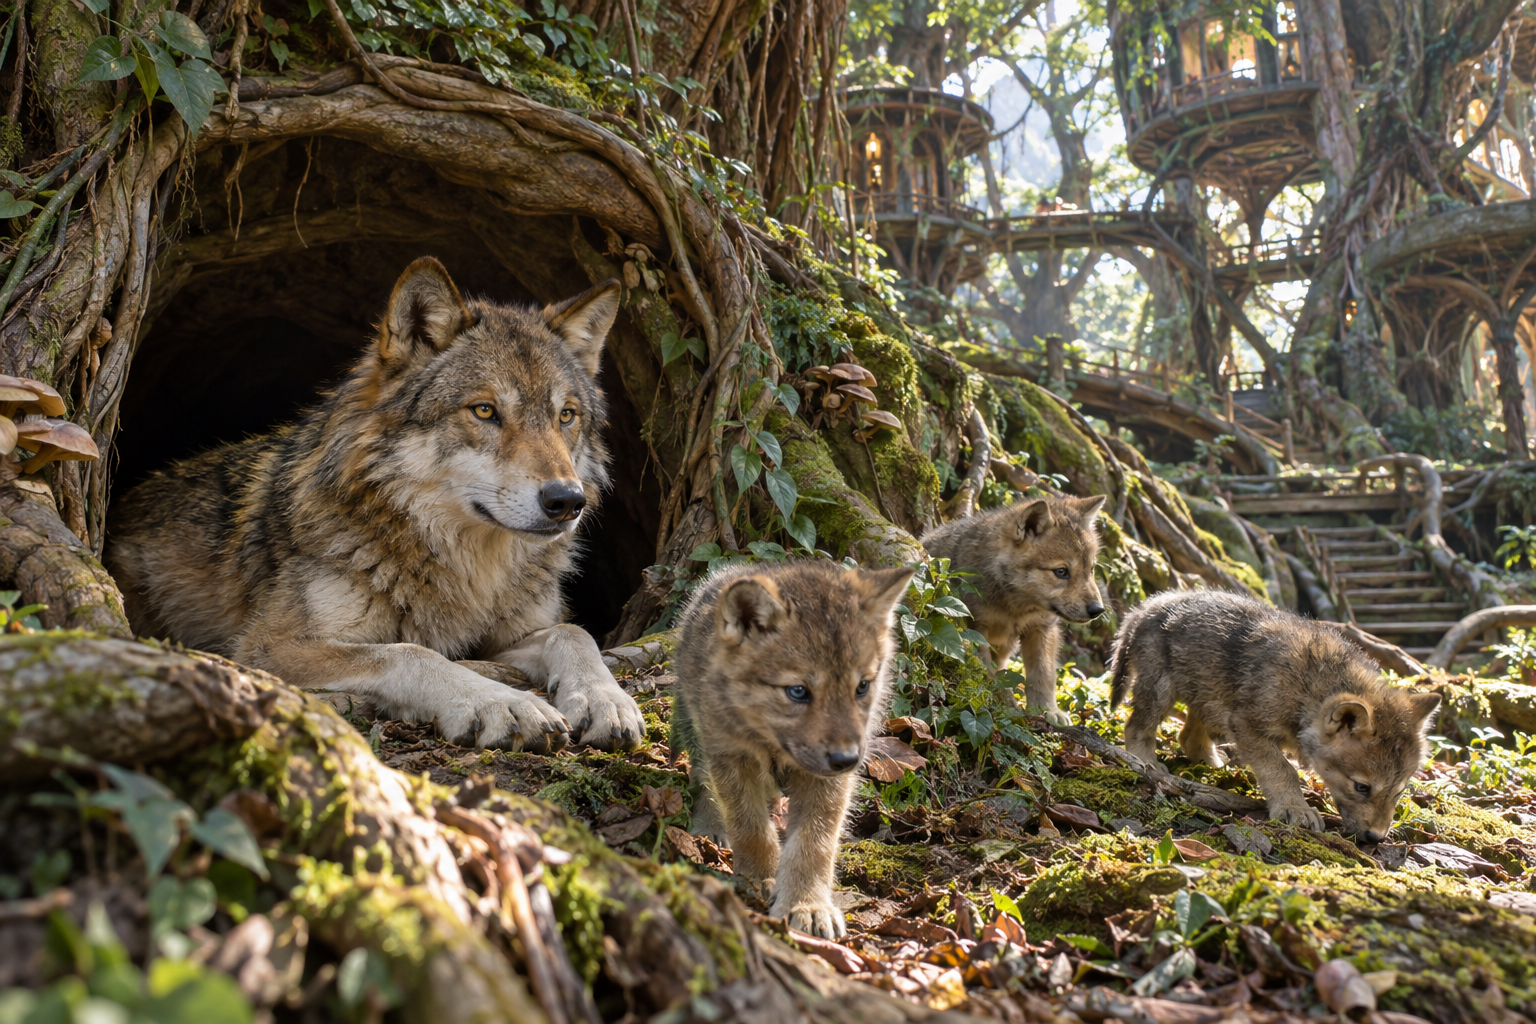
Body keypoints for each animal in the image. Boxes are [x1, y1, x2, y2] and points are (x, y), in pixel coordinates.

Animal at [106, 257, 645, 752]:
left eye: (566, 416)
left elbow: (573, 633)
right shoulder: (268, 647)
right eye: (485, 410)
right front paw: (502, 704)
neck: (467, 571)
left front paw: (605, 699)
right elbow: (413, 653)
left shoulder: (523, 630)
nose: (567, 500)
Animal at [671, 560, 912, 939]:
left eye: (862, 687)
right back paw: (710, 824)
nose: (847, 759)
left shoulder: (828, 782)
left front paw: (807, 904)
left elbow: (815, 843)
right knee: (703, 776)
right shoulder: (731, 756)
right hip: (700, 729)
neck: (773, 744)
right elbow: (750, 827)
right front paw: (759, 879)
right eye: (798, 691)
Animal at [921, 495, 1107, 725]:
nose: (1098, 609)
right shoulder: (976, 628)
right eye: (1061, 572)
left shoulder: (1042, 628)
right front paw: (1004, 703)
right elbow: (987, 672)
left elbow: (1043, 674)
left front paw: (1047, 711)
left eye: (1091, 569)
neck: (1017, 607)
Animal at [1109, 590, 1441, 842]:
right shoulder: (1247, 725)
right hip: (1162, 690)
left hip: (1210, 695)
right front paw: (1297, 809)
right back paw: (1146, 763)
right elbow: (1283, 769)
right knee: (1136, 727)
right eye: (1362, 787)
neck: (1310, 688)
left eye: (1399, 792)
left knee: (1187, 736)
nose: (1376, 839)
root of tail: (1145, 606)